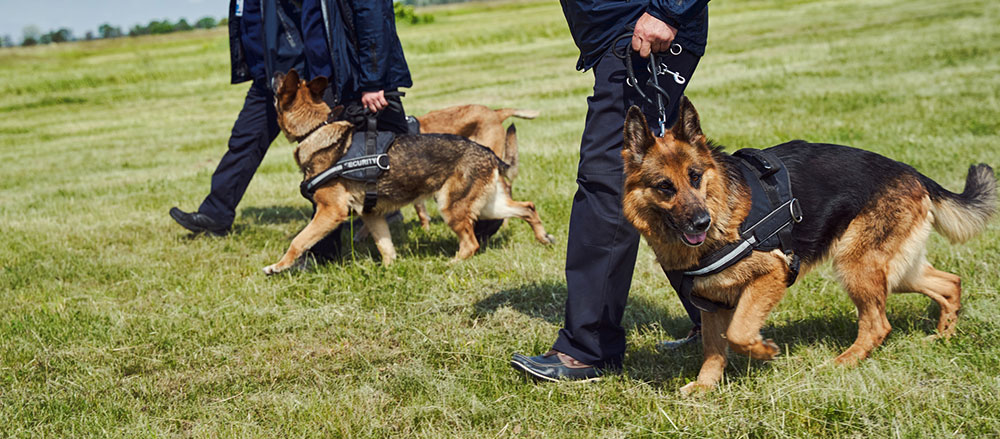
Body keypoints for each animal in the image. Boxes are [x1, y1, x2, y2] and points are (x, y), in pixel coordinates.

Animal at [262, 69, 560, 276]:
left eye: (281, 83)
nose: (272, 73)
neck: (316, 129)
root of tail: (489, 154)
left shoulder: (330, 212)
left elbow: (299, 241)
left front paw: (278, 266)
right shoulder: (372, 214)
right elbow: (386, 247)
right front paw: (387, 271)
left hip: (451, 206)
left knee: (471, 244)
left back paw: (451, 264)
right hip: (486, 205)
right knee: (527, 207)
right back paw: (543, 238)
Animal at [620, 98, 996, 394]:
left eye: (695, 177)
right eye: (665, 187)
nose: (701, 223)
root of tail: (911, 172)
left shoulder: (772, 273)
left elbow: (739, 332)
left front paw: (764, 351)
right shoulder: (711, 301)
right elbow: (714, 348)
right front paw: (705, 387)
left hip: (855, 265)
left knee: (878, 325)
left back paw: (843, 362)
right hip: (895, 269)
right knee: (950, 283)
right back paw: (944, 337)